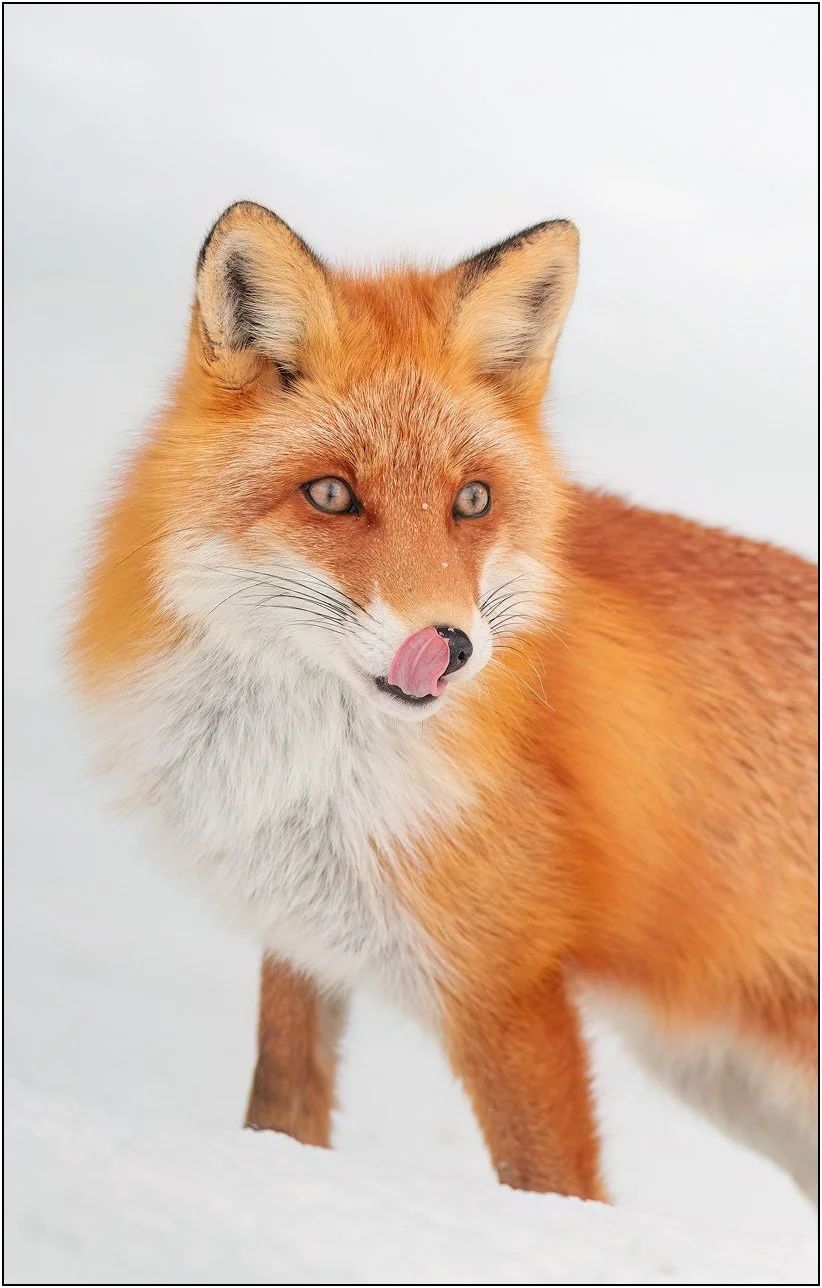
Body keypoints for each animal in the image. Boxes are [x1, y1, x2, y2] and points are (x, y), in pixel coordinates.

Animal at [70, 201, 818, 1206]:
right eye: (331, 494)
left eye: (472, 499)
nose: (453, 647)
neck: (316, 775)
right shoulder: (303, 933)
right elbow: (284, 1110)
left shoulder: (508, 984)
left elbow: (550, 1185)